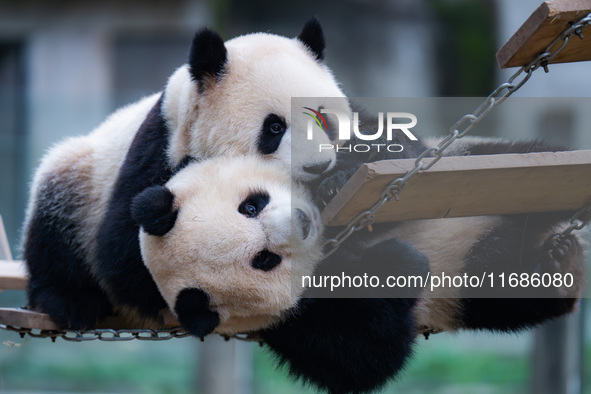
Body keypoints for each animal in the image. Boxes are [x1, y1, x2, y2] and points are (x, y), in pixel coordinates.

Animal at [22, 18, 352, 330]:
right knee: (54, 229)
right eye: (274, 127)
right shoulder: (158, 150)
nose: (317, 166)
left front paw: (336, 183)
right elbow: (122, 255)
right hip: (80, 181)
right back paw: (71, 302)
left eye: (324, 119)